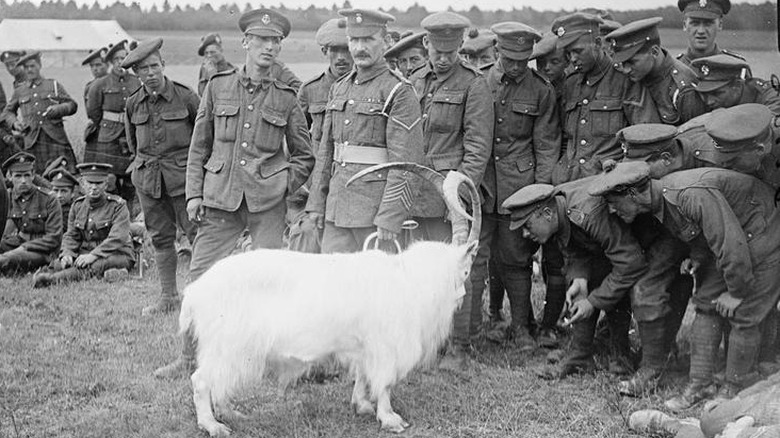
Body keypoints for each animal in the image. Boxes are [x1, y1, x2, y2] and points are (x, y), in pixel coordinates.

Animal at [181, 164, 482, 434]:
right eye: (467, 269)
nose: (462, 295)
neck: (409, 278)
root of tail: (196, 291)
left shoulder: (363, 346)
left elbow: (361, 374)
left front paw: (362, 405)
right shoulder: (386, 346)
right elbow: (384, 382)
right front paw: (390, 419)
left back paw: (231, 413)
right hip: (228, 344)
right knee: (201, 380)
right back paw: (213, 425)